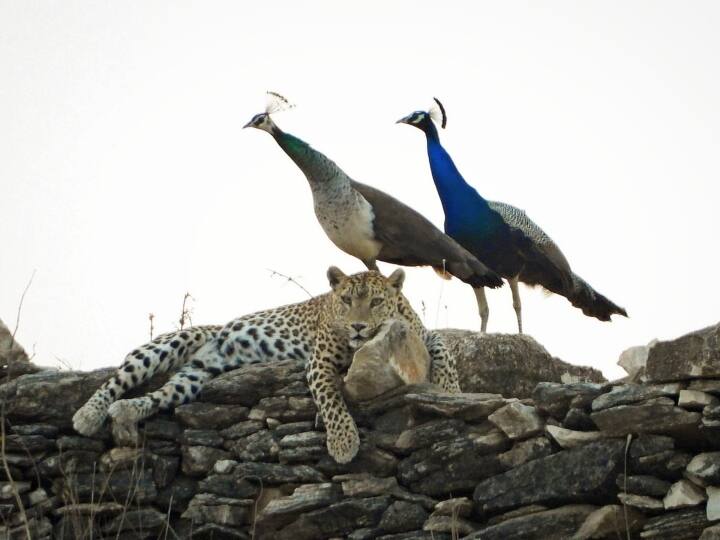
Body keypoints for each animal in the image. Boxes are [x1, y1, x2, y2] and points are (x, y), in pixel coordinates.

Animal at [72, 266, 461, 464]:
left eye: (377, 302)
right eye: (346, 301)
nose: (357, 327)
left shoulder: (422, 334)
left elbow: (443, 348)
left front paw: (451, 390)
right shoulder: (319, 361)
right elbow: (333, 403)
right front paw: (343, 443)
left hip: (193, 377)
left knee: (160, 394)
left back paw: (127, 410)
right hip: (169, 344)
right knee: (117, 378)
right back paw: (88, 415)